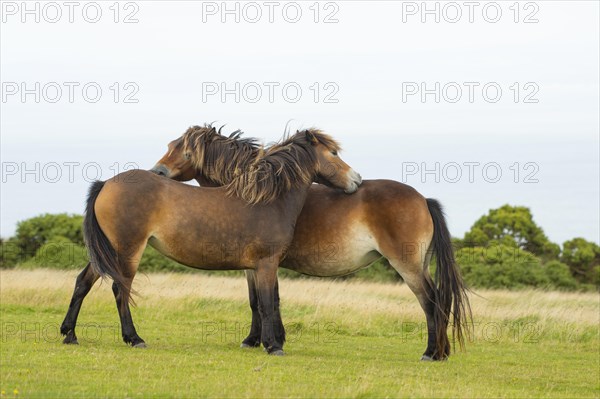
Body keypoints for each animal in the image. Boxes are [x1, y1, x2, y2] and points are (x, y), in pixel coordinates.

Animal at [61, 128, 360, 356]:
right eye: (334, 153)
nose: (356, 180)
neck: (267, 199)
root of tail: (106, 184)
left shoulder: (257, 267)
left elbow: (265, 301)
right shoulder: (266, 264)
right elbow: (267, 303)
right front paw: (273, 345)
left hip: (106, 251)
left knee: (83, 282)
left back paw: (69, 334)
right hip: (127, 251)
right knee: (120, 289)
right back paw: (134, 338)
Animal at [154, 126, 474, 360]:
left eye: (184, 151)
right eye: (170, 146)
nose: (157, 172)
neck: (254, 191)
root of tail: (423, 199)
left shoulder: (261, 263)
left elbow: (263, 301)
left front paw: (262, 341)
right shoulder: (258, 265)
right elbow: (262, 300)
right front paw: (264, 340)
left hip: (408, 266)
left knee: (430, 301)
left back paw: (431, 353)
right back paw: (442, 352)